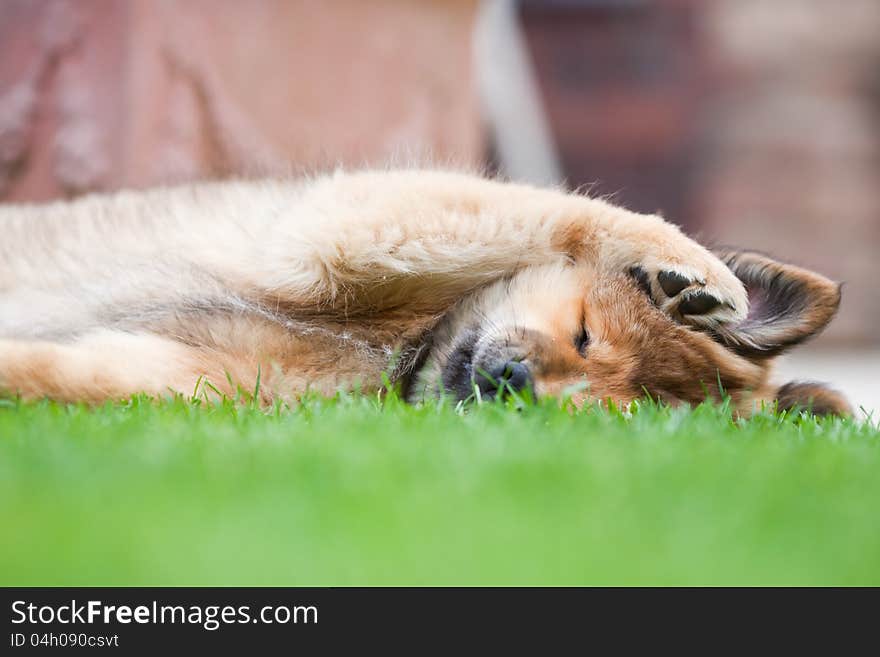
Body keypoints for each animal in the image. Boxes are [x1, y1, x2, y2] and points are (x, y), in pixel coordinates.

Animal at [0, 169, 852, 416]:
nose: (514, 381)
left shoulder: (199, 375)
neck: (405, 342)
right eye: (584, 332)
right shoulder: (333, 228)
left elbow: (59, 372)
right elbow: (560, 213)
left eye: (599, 412)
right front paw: (690, 268)